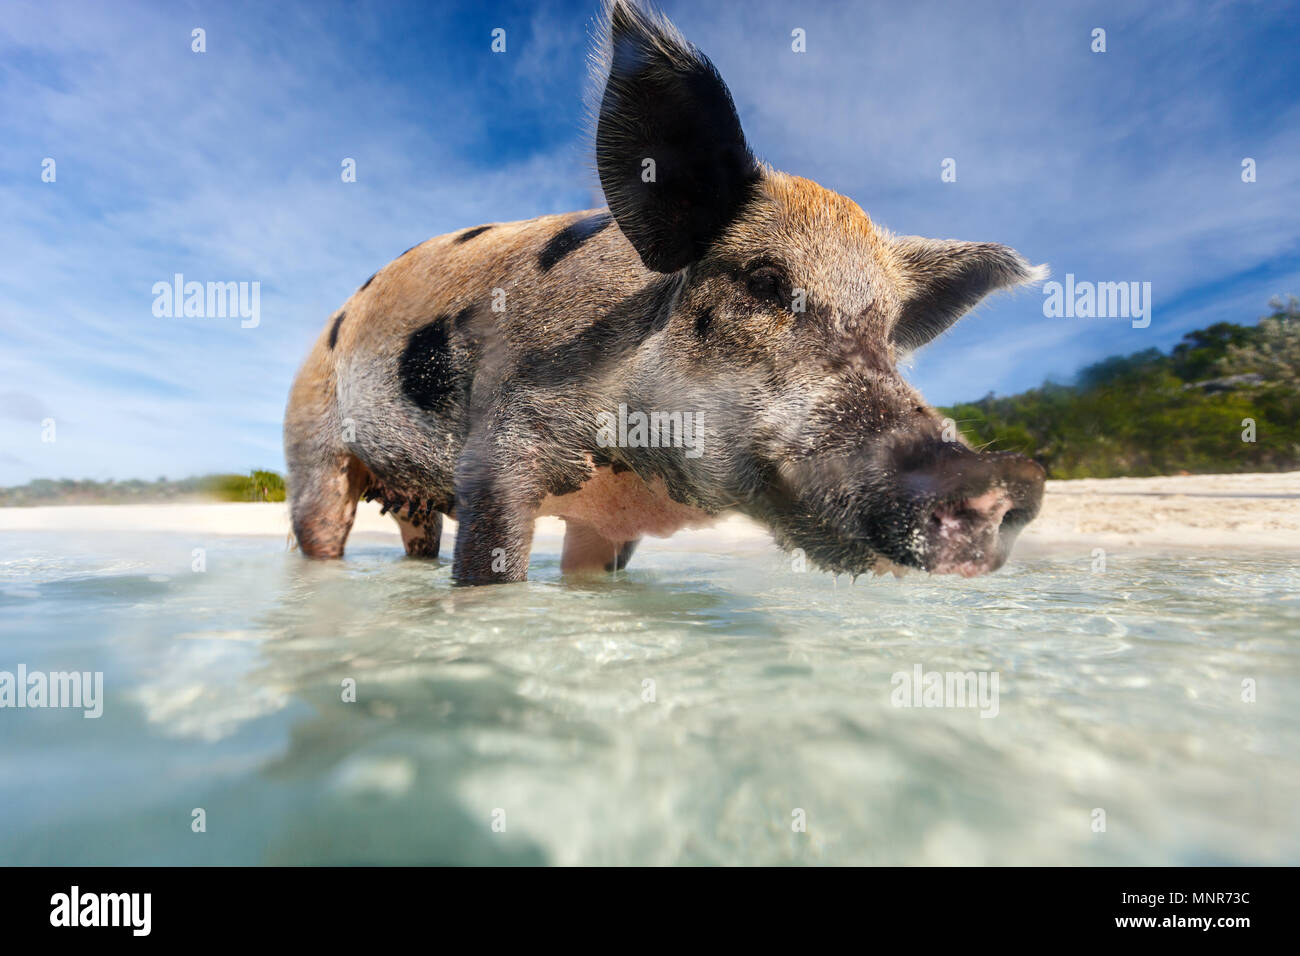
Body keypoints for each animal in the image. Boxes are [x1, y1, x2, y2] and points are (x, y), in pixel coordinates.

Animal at [282, 0, 1045, 587]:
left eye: (888, 332)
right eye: (765, 281)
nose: (1007, 478)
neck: (634, 470)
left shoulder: (607, 523)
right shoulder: (498, 455)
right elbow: (488, 574)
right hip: (311, 446)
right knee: (319, 529)